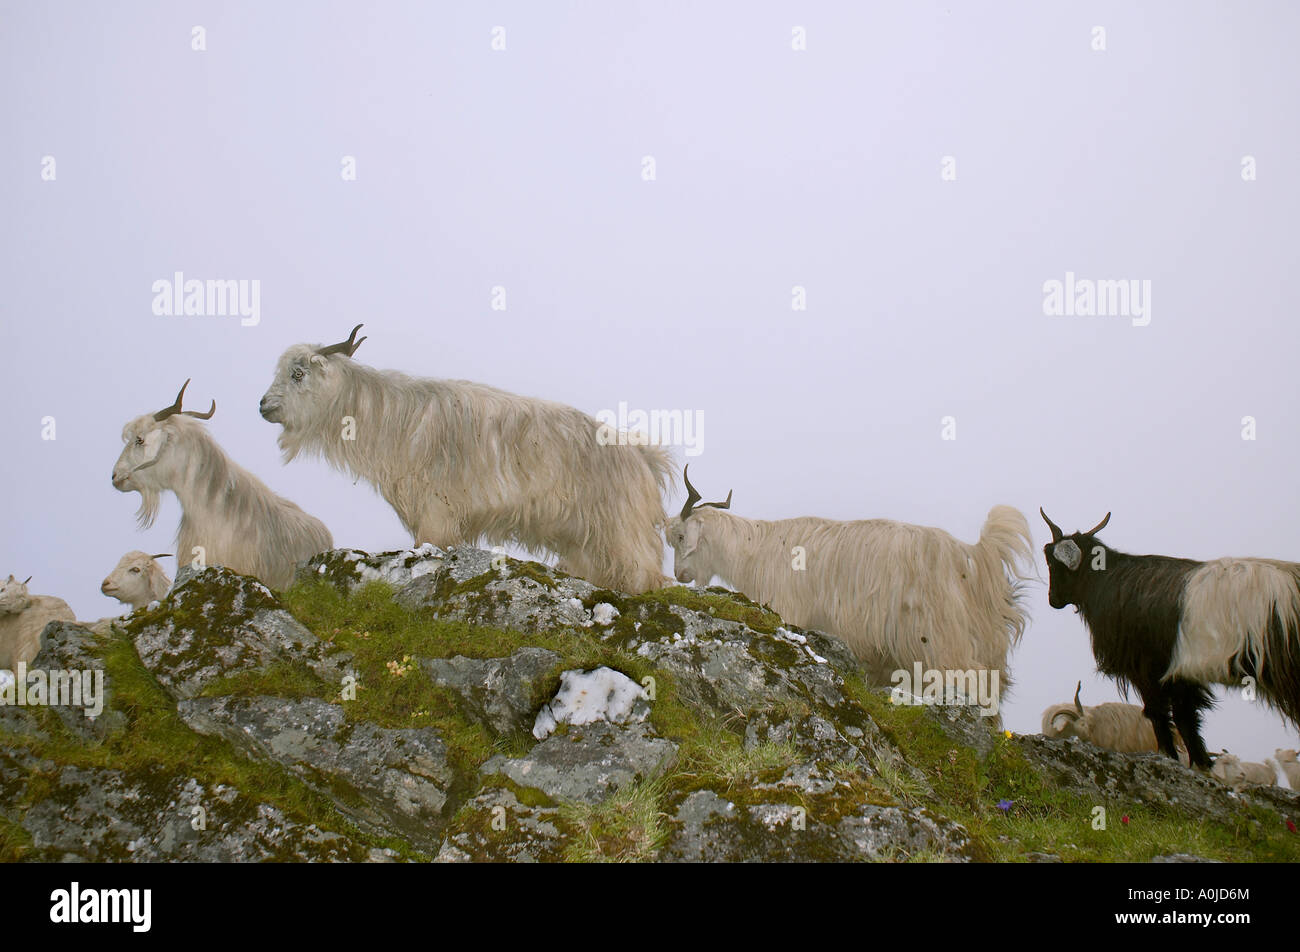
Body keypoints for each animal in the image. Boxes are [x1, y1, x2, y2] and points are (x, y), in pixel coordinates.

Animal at [260, 327, 676, 595]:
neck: (396, 417)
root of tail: (641, 455)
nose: (264, 405)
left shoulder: (436, 511)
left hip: (624, 531)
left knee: (645, 576)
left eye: (298, 374)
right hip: (587, 541)